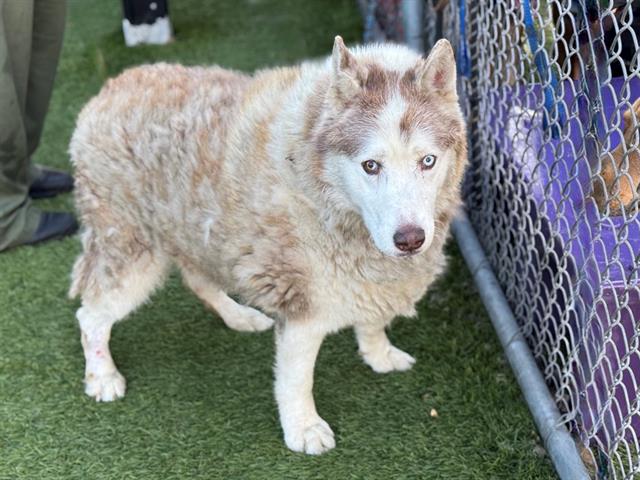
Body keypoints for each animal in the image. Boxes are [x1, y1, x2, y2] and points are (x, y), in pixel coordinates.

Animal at [70, 37, 468, 454]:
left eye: (428, 161)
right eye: (370, 165)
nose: (410, 239)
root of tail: (108, 90)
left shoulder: (373, 280)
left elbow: (373, 322)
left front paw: (379, 355)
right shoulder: (302, 304)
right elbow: (297, 379)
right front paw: (303, 429)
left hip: (201, 233)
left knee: (197, 279)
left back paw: (239, 316)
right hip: (131, 253)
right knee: (91, 316)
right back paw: (102, 376)